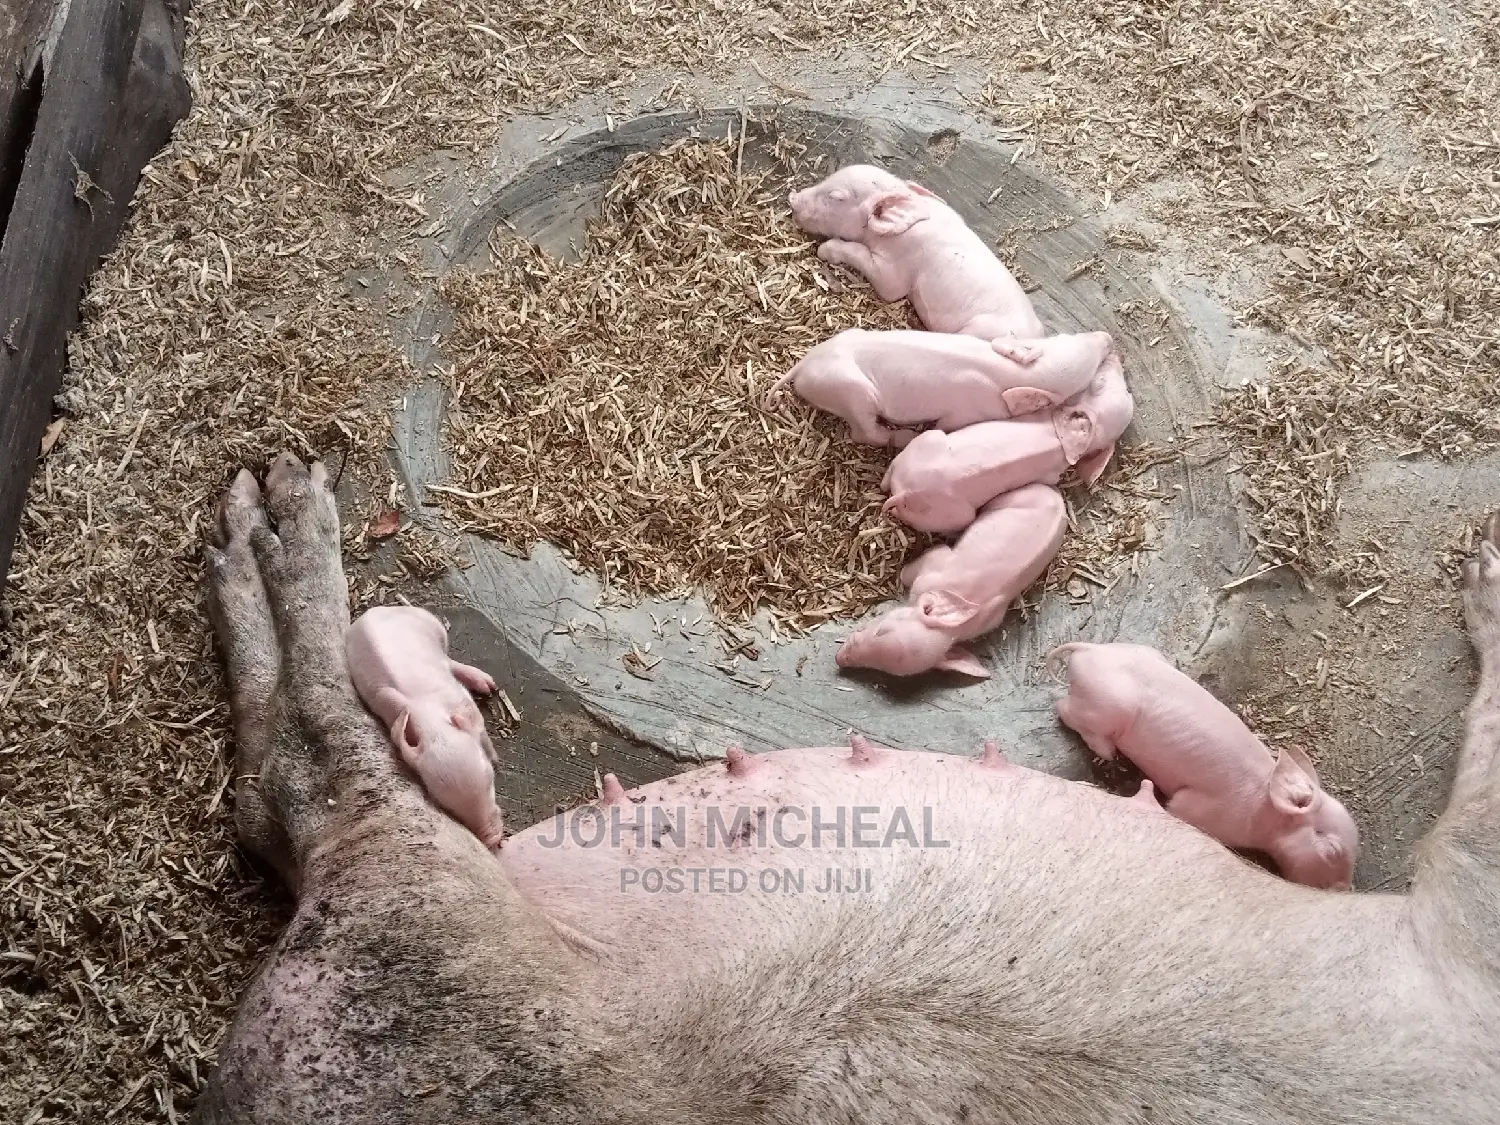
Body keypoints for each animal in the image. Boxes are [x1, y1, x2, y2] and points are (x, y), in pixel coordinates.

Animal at [344, 605, 504, 849]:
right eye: (446, 805)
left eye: (490, 779)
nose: (492, 838)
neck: (430, 719)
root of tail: (375, 611)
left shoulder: (467, 707)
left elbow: (482, 733)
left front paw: (495, 758)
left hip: (431, 624)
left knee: (449, 659)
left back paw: (487, 684)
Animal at [767, 326, 1115, 448]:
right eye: (1085, 378)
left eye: (1066, 336)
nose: (1107, 337)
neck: (1005, 374)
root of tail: (804, 365)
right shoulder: (964, 412)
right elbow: (946, 426)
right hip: (853, 393)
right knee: (865, 434)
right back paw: (906, 437)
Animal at [882, 351, 1134, 533]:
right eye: (1099, 383)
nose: (1116, 355)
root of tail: (906, 492)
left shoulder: (1050, 476)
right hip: (927, 441)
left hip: (954, 512)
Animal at [1046, 641, 1359, 890]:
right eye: (1332, 850)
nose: (1345, 889)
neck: (1262, 809)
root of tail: (1090, 649)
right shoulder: (1200, 807)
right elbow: (1176, 807)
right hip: (1104, 706)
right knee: (1063, 709)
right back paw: (1109, 753)